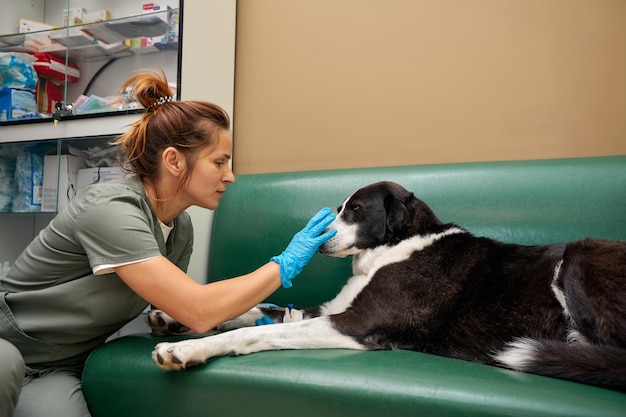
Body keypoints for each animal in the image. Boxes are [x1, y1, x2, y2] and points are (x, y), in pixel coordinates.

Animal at [151, 180, 624, 392]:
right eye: (337, 209)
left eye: (356, 210)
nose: (318, 239)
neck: (395, 246)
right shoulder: (329, 310)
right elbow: (259, 311)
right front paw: (170, 319)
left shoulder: (355, 323)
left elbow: (257, 333)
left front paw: (186, 349)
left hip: (578, 258)